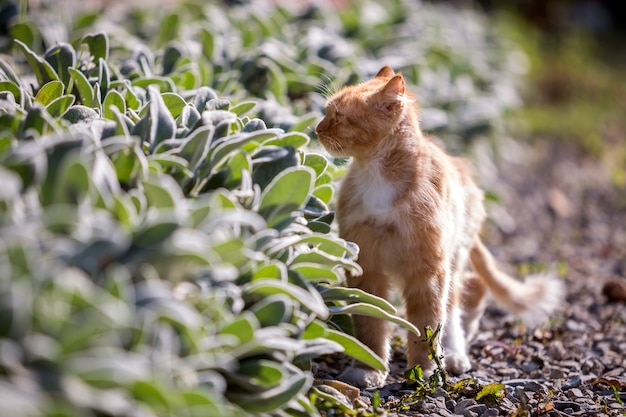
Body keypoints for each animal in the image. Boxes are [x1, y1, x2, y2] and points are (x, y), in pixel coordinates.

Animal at [314, 65, 564, 386]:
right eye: (327, 112)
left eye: (338, 116)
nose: (318, 128)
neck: (379, 176)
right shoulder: (366, 264)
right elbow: (370, 323)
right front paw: (368, 370)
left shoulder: (428, 268)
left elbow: (427, 324)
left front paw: (423, 370)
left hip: (453, 259)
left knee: (461, 299)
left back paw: (455, 355)